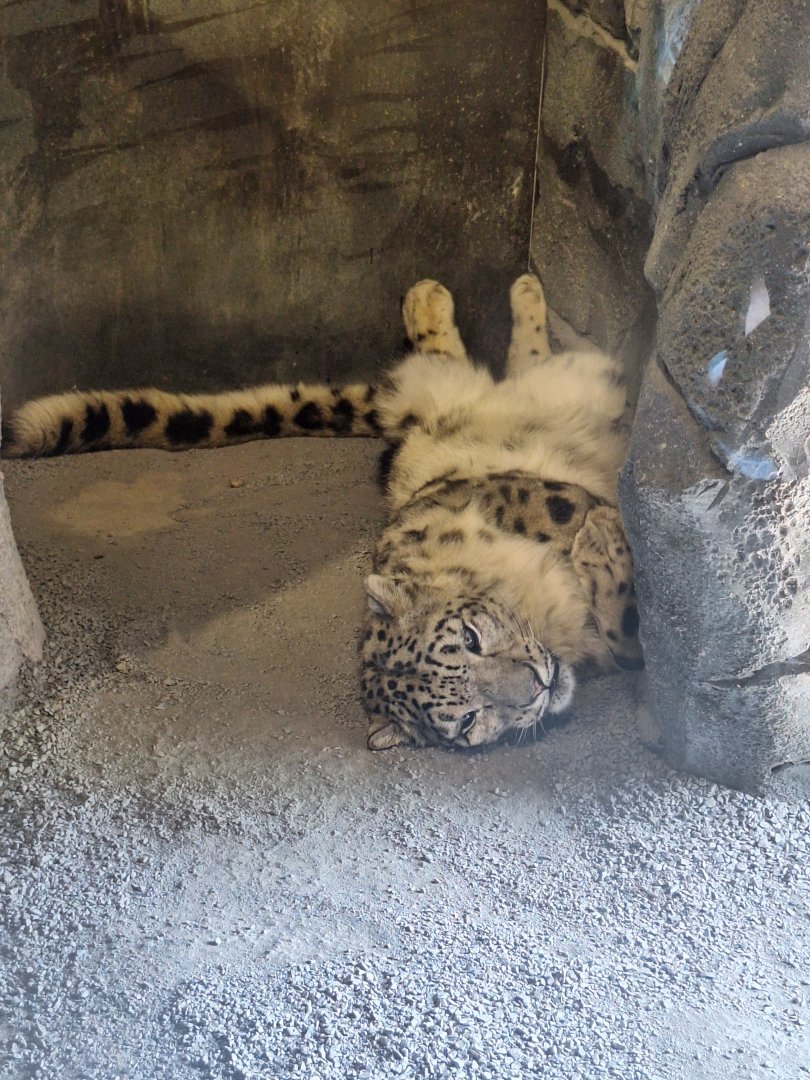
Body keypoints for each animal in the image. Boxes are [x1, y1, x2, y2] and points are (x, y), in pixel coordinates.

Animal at [2, 273, 642, 750]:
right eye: (465, 720)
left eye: (470, 635)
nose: (536, 685)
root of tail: (400, 421)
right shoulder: (609, 650)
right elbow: (628, 631)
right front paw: (607, 542)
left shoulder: (518, 499)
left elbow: (570, 513)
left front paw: (600, 530)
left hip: (464, 395)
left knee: (473, 360)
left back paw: (457, 292)